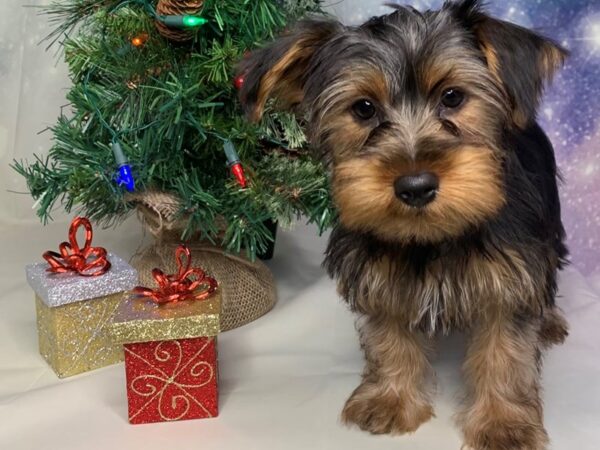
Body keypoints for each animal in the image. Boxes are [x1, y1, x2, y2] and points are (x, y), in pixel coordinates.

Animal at [238, 1, 568, 448]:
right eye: (363, 108)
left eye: (452, 97)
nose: (415, 186)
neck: (433, 235)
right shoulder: (376, 271)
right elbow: (388, 335)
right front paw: (390, 399)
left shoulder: (511, 277)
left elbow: (506, 350)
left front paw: (504, 422)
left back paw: (549, 320)